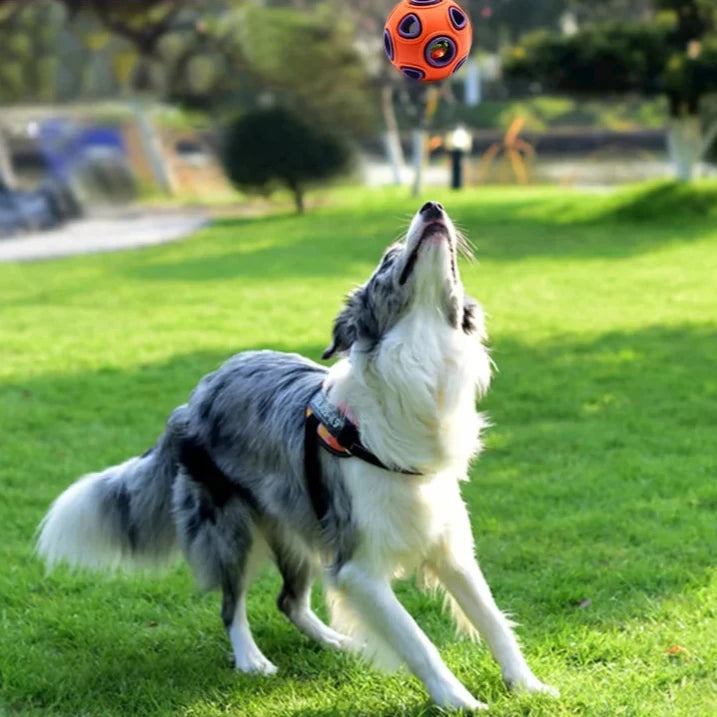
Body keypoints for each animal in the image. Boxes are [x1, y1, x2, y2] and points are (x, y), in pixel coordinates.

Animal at [36, 201, 556, 712]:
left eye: (452, 265)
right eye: (387, 261)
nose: (432, 207)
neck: (420, 359)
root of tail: (194, 396)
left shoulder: (448, 546)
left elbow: (492, 619)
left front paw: (529, 687)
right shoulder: (358, 567)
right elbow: (417, 640)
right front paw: (460, 701)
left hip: (296, 527)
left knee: (289, 601)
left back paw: (339, 642)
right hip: (232, 529)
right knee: (232, 604)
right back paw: (251, 659)